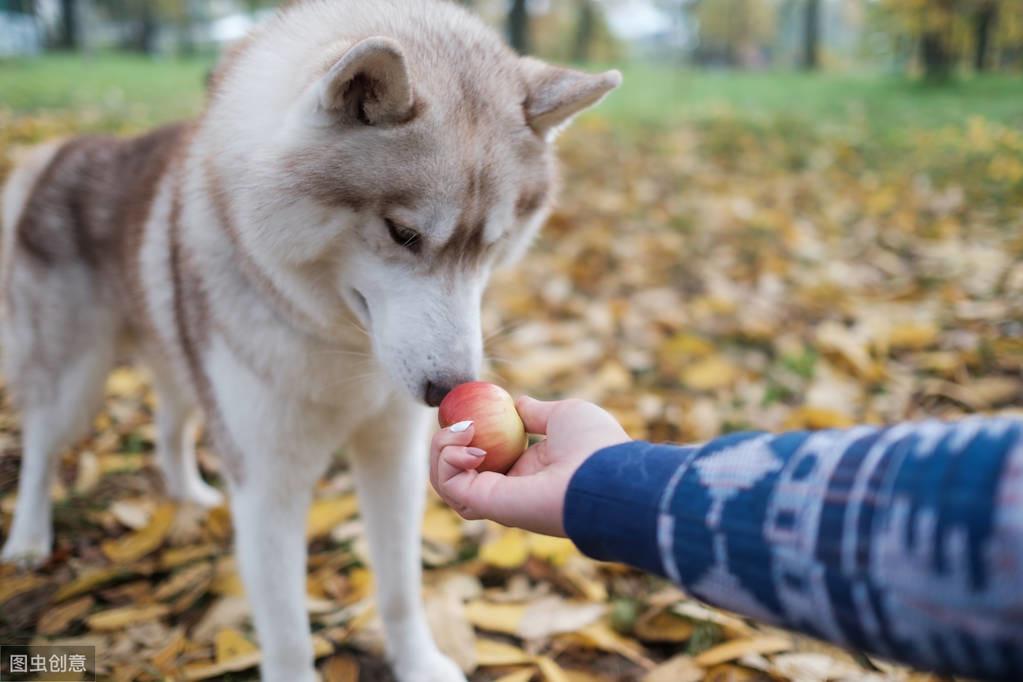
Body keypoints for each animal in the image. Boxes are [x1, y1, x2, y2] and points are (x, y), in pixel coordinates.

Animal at [0, 1, 617, 678]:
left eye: (492, 244)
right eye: (402, 233)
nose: (450, 390)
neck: (341, 346)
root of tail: (60, 151)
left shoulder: (392, 457)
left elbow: (399, 587)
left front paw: (417, 661)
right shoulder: (269, 484)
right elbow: (289, 632)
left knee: (169, 425)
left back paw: (191, 493)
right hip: (75, 385)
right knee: (42, 448)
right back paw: (28, 539)